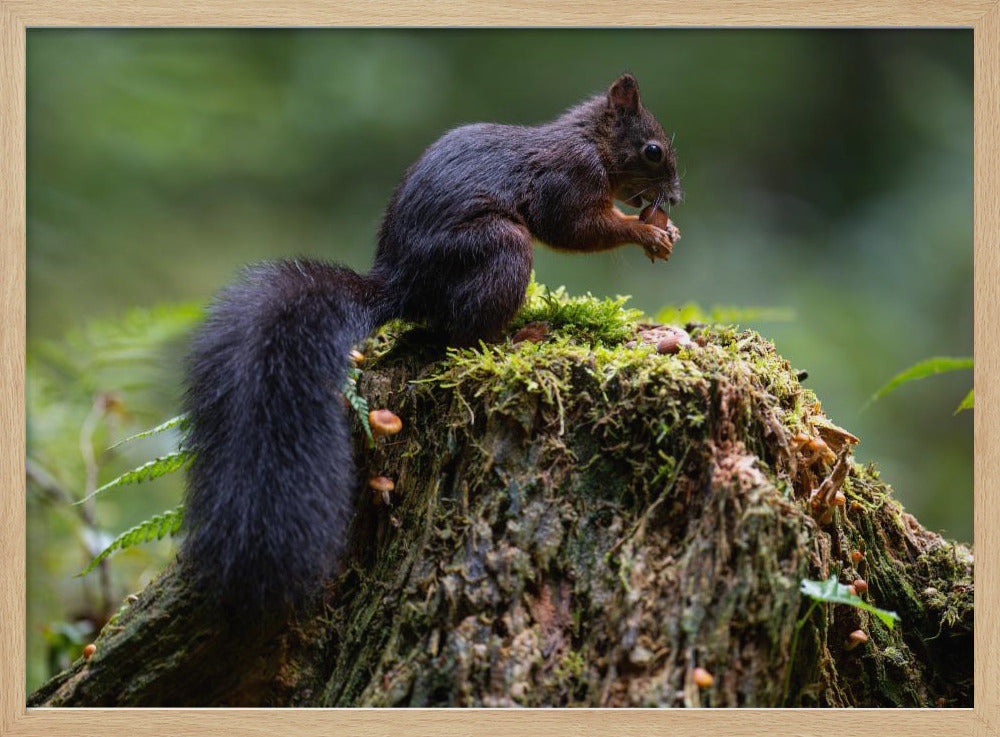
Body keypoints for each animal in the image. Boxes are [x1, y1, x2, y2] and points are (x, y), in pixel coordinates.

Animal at [180, 73, 682, 620]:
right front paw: (647, 231)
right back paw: (519, 336)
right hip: (500, 246)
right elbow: (575, 227)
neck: (592, 141)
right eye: (653, 150)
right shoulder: (569, 179)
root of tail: (400, 284)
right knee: (467, 336)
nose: (676, 198)